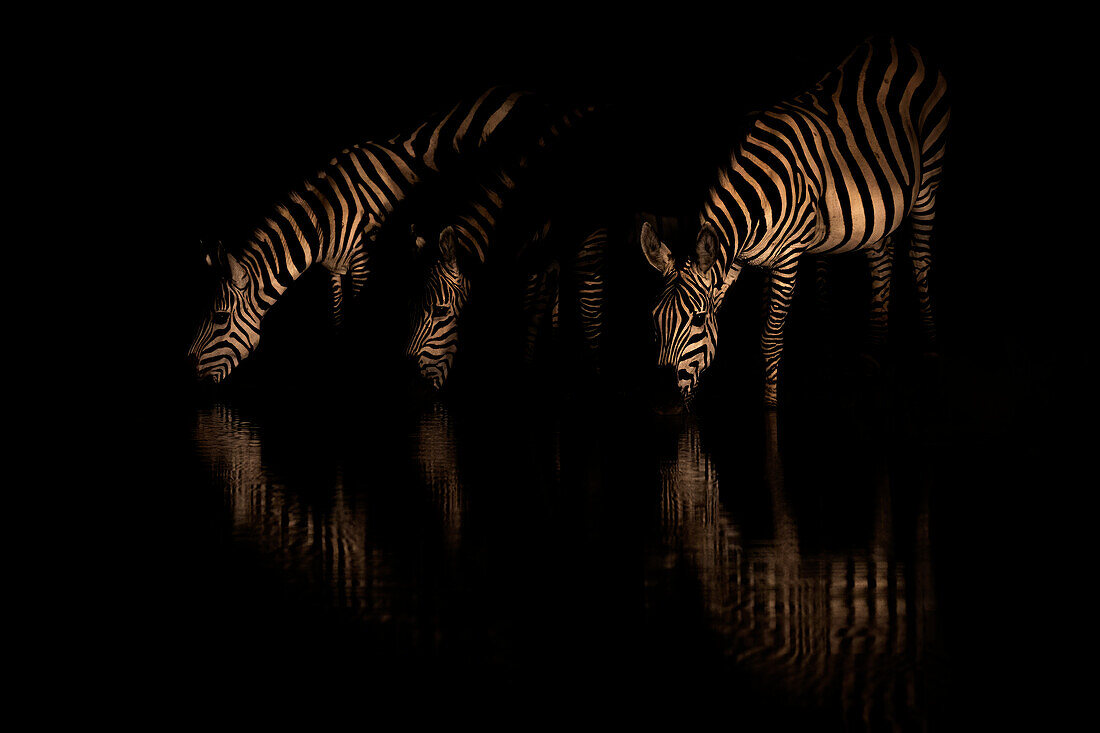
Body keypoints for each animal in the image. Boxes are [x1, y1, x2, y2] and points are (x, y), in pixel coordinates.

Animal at [642, 35, 950, 405]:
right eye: (654, 320)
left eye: (699, 319)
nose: (661, 403)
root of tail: (893, 42)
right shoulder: (745, 260)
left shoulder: (787, 258)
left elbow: (770, 339)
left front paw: (770, 404)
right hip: (879, 210)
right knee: (882, 262)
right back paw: (873, 354)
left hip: (929, 177)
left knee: (919, 260)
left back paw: (930, 349)